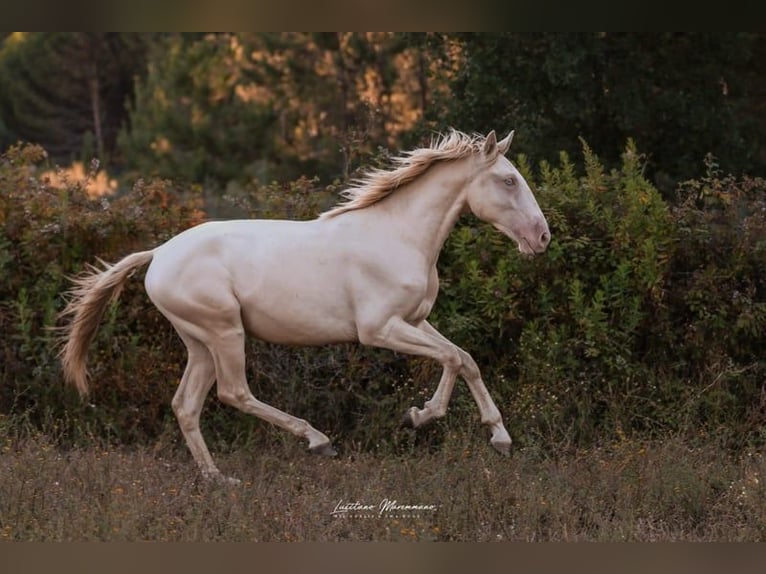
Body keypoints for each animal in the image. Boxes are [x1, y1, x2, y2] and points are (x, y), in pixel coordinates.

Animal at [61, 128, 552, 484]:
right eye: (509, 180)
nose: (542, 237)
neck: (399, 234)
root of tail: (158, 253)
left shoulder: (415, 320)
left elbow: (465, 359)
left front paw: (500, 437)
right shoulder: (380, 329)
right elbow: (451, 358)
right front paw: (419, 416)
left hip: (198, 342)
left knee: (186, 405)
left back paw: (218, 479)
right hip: (224, 332)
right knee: (234, 393)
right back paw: (317, 441)